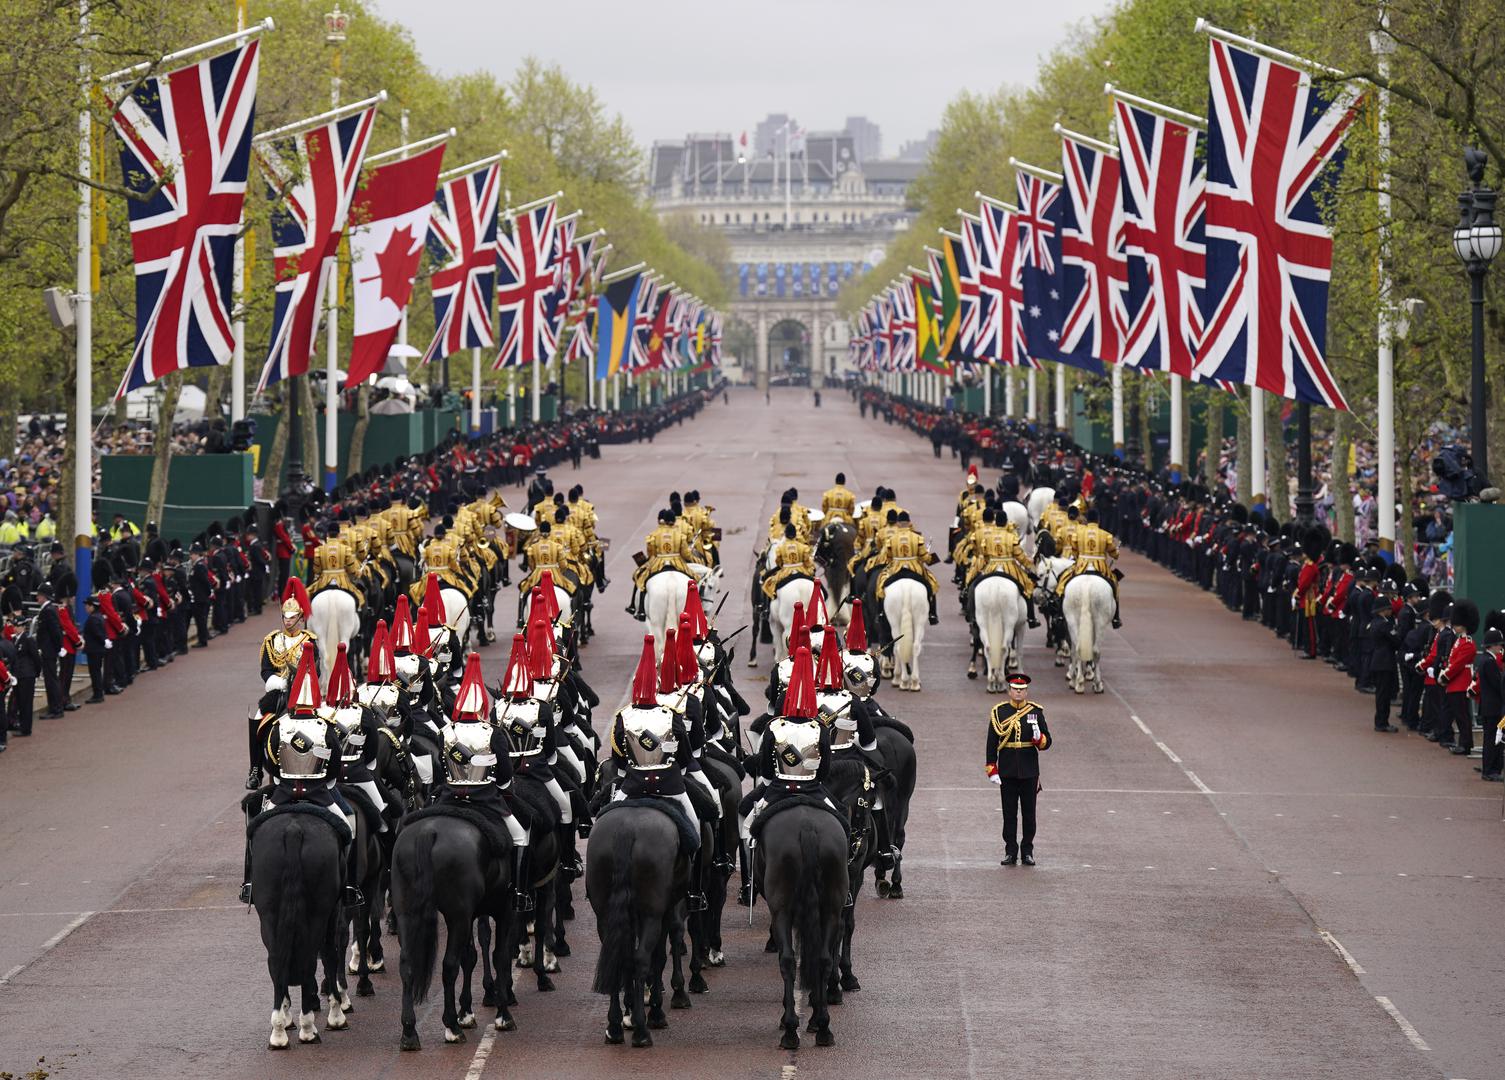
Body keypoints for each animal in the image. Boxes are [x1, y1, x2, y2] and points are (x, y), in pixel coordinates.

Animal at [252, 818, 346, 1052]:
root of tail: (292, 829)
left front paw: (286, 1018)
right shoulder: (333, 909)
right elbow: (330, 955)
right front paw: (336, 1015)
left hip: (269, 915)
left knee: (277, 962)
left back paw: (278, 1032)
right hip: (319, 913)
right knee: (310, 960)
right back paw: (308, 1028)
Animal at [586, 806, 689, 1046]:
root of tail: (626, 828)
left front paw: (631, 1008)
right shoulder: (668, 906)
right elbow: (664, 950)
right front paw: (663, 1004)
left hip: (605, 914)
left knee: (619, 957)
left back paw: (614, 1027)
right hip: (652, 912)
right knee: (642, 958)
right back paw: (642, 1030)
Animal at [758, 806, 854, 1046]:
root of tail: (807, 825)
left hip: (781, 911)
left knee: (788, 960)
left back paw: (791, 1029)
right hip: (830, 908)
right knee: (823, 959)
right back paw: (823, 1027)